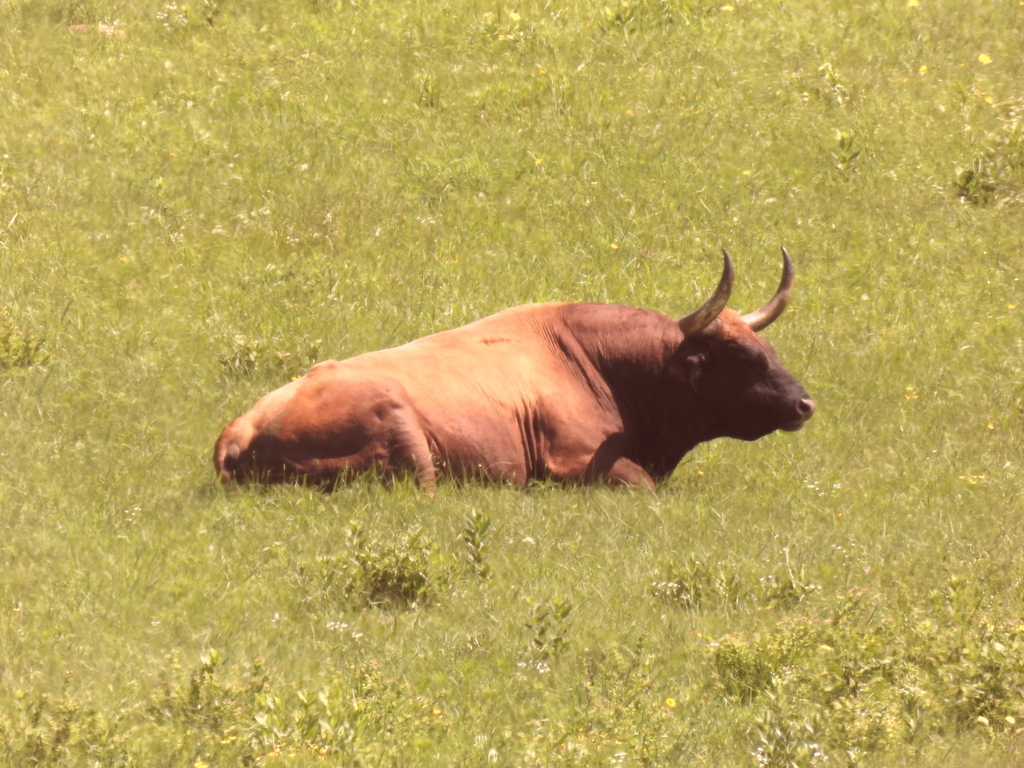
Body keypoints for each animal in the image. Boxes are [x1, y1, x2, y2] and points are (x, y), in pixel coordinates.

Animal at [214, 248, 814, 494]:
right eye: (742, 358)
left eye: (768, 347)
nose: (805, 403)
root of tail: (241, 430)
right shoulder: (576, 463)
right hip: (404, 434)